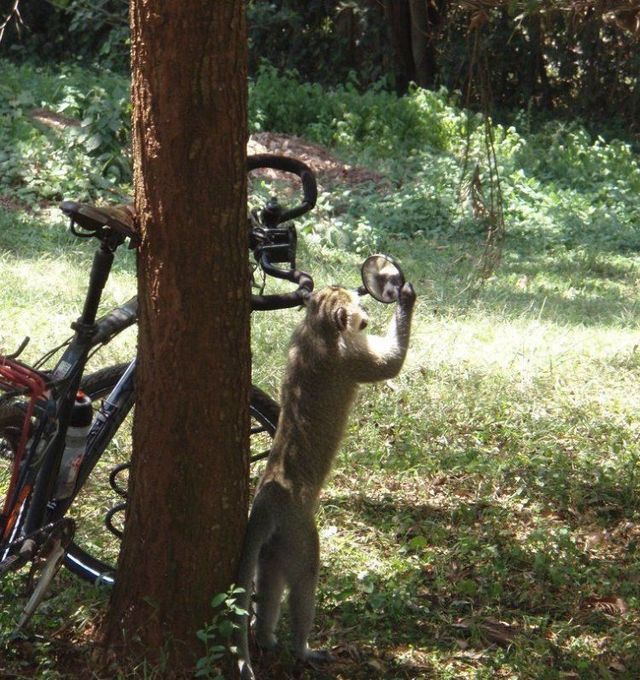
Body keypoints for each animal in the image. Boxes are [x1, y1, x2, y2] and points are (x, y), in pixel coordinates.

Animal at [235, 281, 416, 680]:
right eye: (356, 302)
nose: (365, 302)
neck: (317, 330)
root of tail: (268, 499)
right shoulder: (349, 357)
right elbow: (391, 364)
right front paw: (405, 298)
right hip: (297, 535)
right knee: (305, 578)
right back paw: (301, 647)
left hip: (273, 546)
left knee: (269, 585)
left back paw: (265, 636)